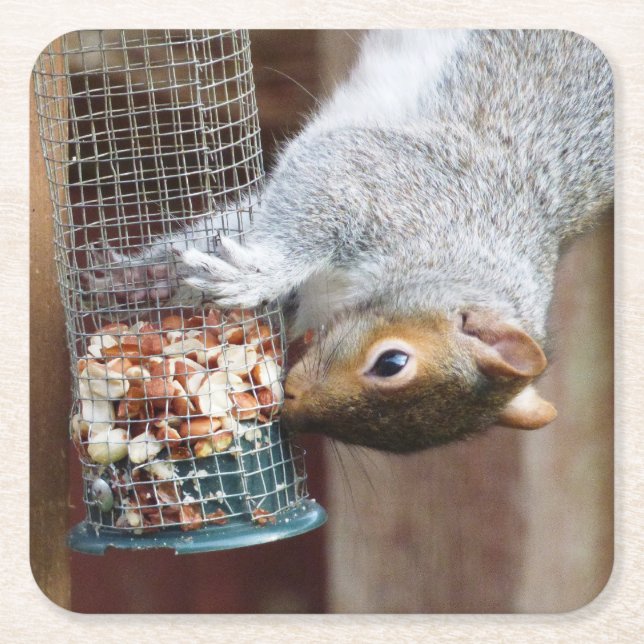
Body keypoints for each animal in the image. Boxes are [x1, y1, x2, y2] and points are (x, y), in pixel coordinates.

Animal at [84, 30, 613, 452]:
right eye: (392, 362)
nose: (292, 405)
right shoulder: (391, 182)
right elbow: (312, 195)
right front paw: (242, 274)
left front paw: (155, 277)